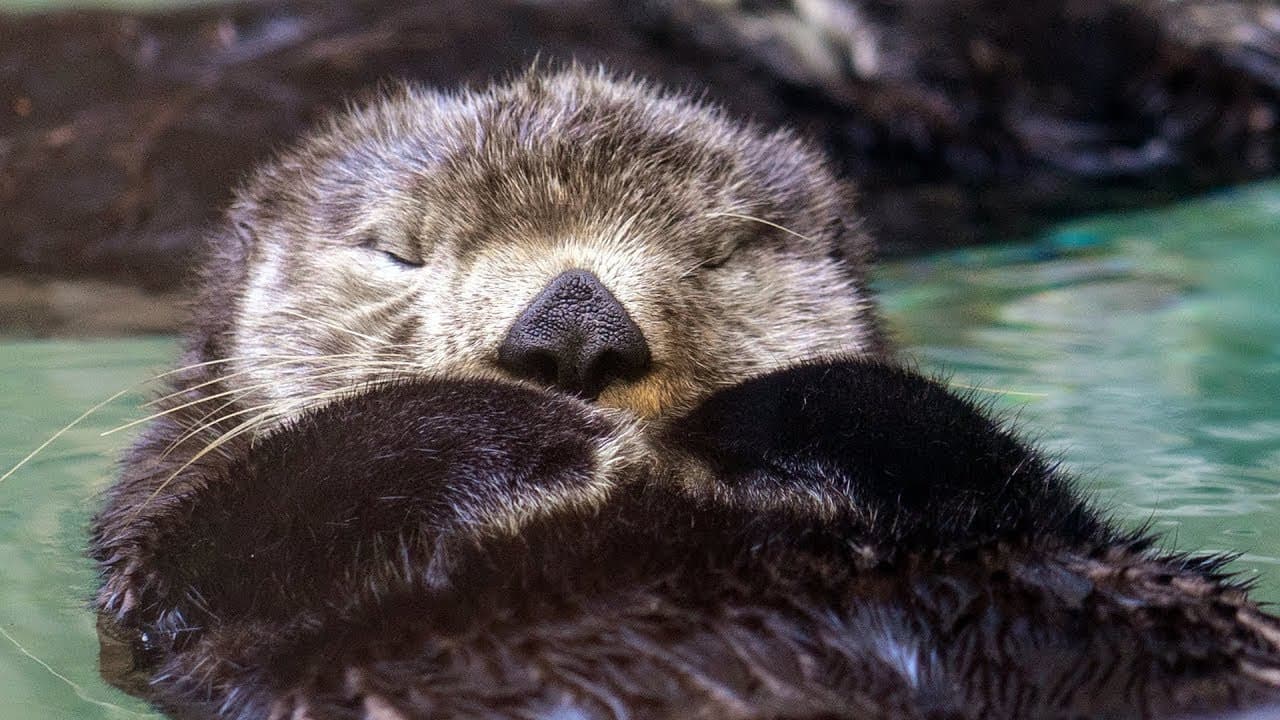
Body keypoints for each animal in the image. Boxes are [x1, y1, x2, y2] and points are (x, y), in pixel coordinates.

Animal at [90, 68, 1280, 717]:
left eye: (718, 252)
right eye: (397, 253)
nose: (573, 328)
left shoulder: (1063, 543)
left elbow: (1006, 477)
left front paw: (748, 419)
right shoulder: (161, 595)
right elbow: (210, 545)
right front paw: (524, 431)